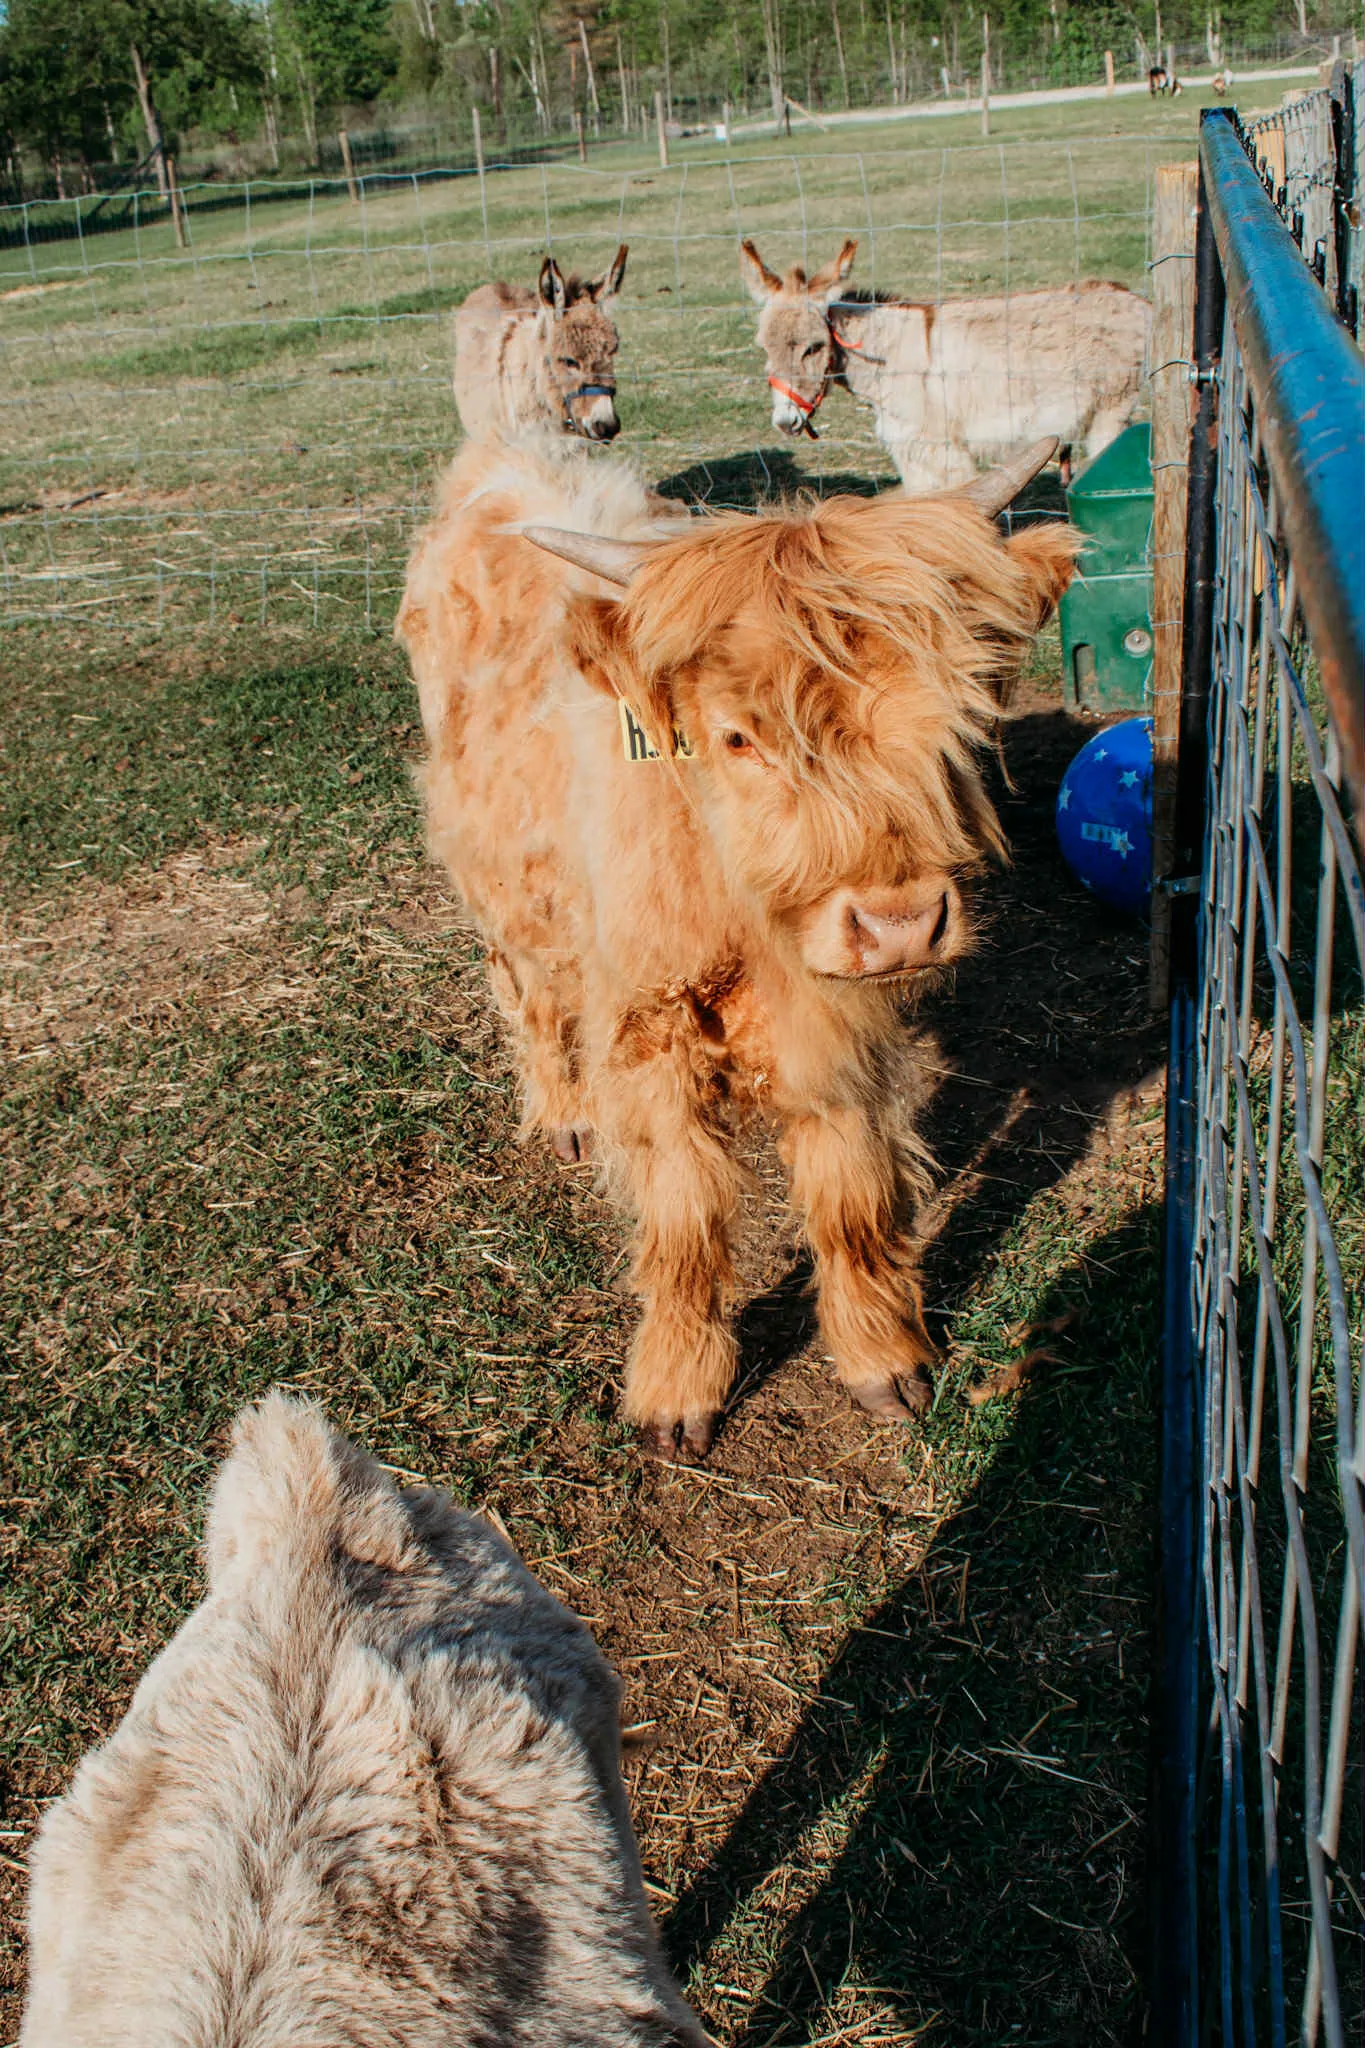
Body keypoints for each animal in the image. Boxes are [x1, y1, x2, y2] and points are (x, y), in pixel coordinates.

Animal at [396, 433, 1079, 1458]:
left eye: (956, 711)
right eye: (736, 737)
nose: (898, 925)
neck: (745, 917)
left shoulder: (839, 1029)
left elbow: (850, 1197)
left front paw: (882, 1359)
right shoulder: (649, 1033)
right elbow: (683, 1225)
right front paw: (676, 1392)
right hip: (495, 871)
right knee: (523, 983)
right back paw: (562, 1112)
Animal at [740, 236, 1150, 492]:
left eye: (813, 347)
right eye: (764, 348)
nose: (785, 421)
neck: (889, 357)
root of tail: (1135, 298)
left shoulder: (942, 450)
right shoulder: (910, 452)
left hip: (1112, 409)